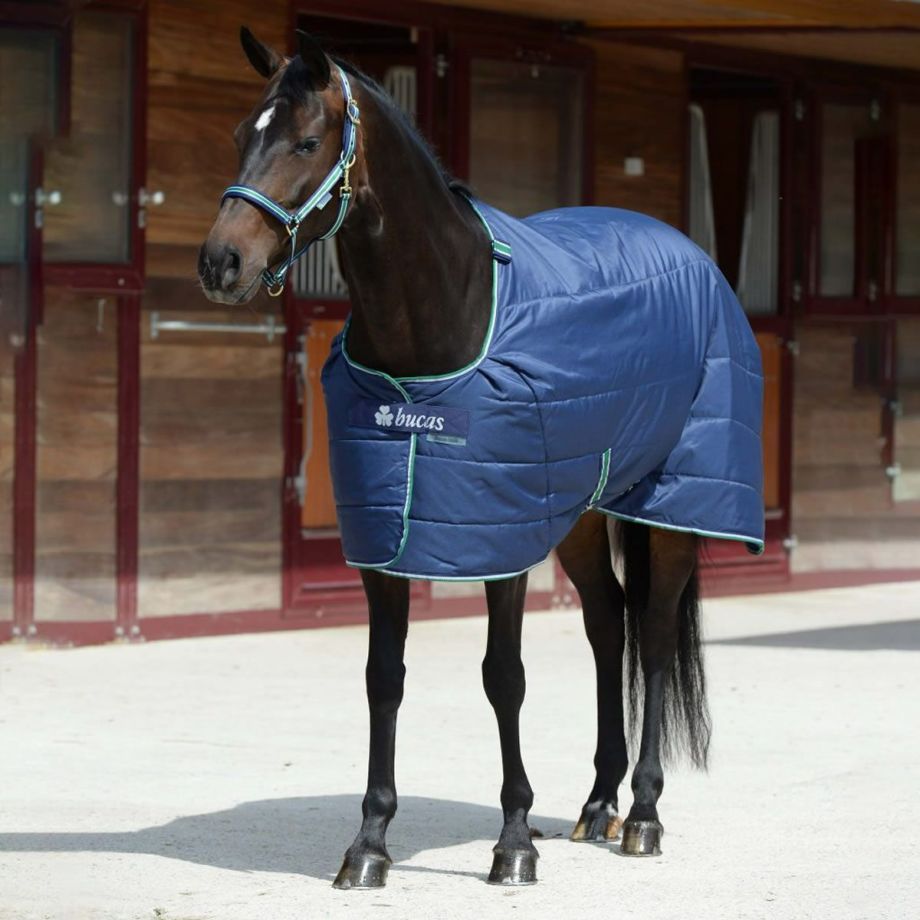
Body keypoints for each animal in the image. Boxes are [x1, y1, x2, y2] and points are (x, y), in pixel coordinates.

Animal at [198, 28, 764, 889]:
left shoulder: (499, 539)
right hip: (579, 511)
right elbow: (384, 678)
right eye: (238, 136)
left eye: (304, 141)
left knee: (657, 634)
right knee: (609, 626)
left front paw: (515, 843)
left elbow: (504, 679)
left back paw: (642, 814)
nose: (221, 262)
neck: (442, 319)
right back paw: (597, 804)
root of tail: (690, 253)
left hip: (672, 505)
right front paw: (369, 844)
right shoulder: (388, 538)